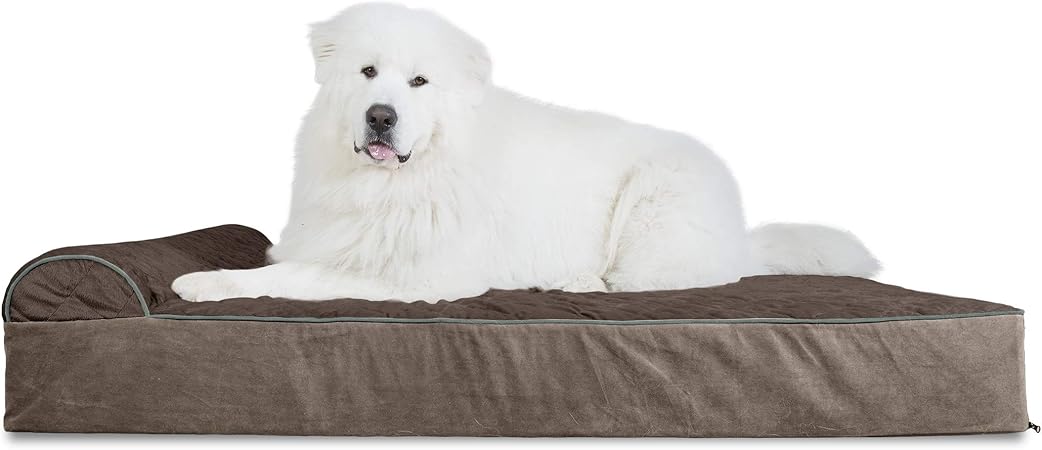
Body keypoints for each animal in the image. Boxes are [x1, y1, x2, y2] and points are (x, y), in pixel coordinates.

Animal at [172, 3, 879, 303]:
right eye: (368, 73)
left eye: (419, 82)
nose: (381, 117)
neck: (402, 181)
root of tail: (743, 234)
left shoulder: (418, 278)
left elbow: (293, 277)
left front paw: (206, 283)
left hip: (655, 206)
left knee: (661, 280)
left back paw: (582, 279)